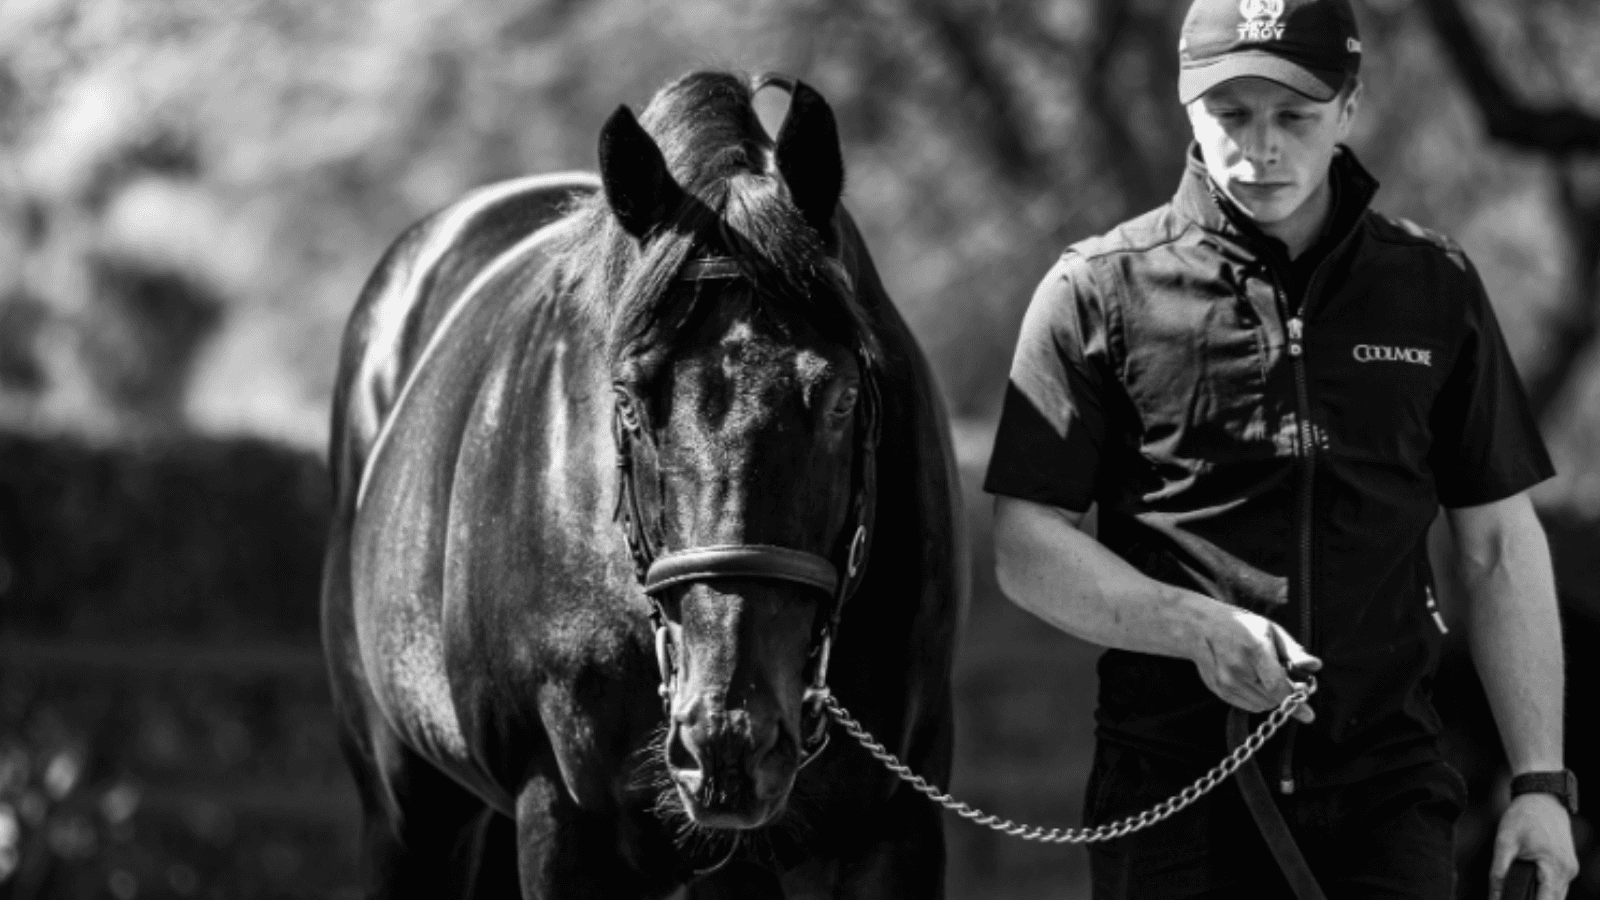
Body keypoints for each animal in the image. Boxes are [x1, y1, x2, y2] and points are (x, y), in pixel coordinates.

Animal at [319, 70, 967, 899]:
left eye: (843, 398)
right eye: (626, 400)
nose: (729, 738)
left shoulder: (891, 831)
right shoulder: (562, 825)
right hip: (409, 816)